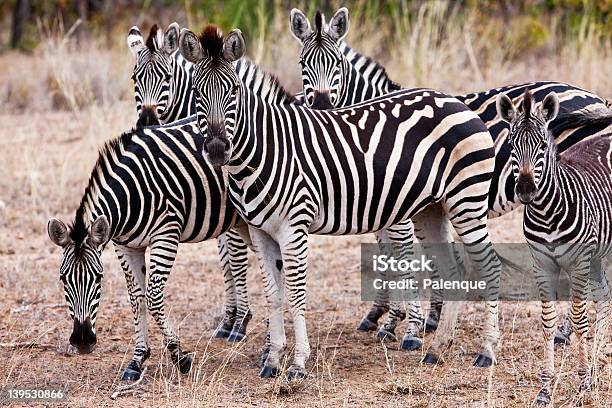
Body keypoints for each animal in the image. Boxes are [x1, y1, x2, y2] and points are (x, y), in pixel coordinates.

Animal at [46, 121, 256, 382]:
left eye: (98, 278)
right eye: (63, 279)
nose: (83, 341)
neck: (129, 196)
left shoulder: (165, 235)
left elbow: (154, 299)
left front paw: (180, 357)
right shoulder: (125, 246)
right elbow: (137, 299)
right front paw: (137, 359)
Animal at [128, 22, 252, 342]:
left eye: (167, 77)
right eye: (135, 79)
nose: (147, 122)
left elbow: (235, 258)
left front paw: (240, 323)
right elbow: (225, 260)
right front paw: (229, 320)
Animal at [177, 23, 502, 378]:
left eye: (234, 90)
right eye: (196, 92)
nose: (217, 149)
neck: (265, 149)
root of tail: (457, 103)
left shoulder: (294, 228)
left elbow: (297, 295)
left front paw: (298, 364)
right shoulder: (260, 232)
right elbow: (273, 296)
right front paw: (272, 360)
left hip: (467, 200)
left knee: (489, 265)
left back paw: (486, 352)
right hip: (433, 209)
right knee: (453, 269)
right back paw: (437, 349)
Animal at [288, 5, 612, 356]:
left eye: (337, 64)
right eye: (302, 64)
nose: (320, 106)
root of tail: (594, 97)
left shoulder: (398, 207)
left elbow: (401, 258)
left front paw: (401, 322)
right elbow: (406, 257)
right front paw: (403, 316)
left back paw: (564, 332)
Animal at [498, 91, 612, 406]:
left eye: (542, 145)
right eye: (511, 146)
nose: (526, 190)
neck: (547, 213)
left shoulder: (579, 263)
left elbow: (579, 319)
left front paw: (584, 381)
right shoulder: (542, 265)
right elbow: (548, 322)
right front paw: (545, 389)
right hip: (597, 257)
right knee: (605, 297)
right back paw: (598, 363)